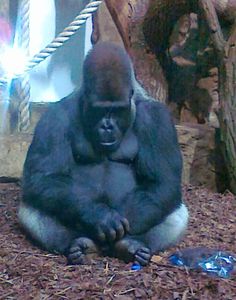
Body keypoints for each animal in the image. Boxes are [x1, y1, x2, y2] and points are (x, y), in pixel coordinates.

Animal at [18, 41, 188, 264]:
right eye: (99, 110)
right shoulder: (54, 117)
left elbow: (162, 181)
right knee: (32, 207)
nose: (107, 126)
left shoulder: (158, 119)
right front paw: (100, 216)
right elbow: (44, 178)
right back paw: (80, 244)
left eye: (117, 110)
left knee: (177, 214)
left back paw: (130, 245)